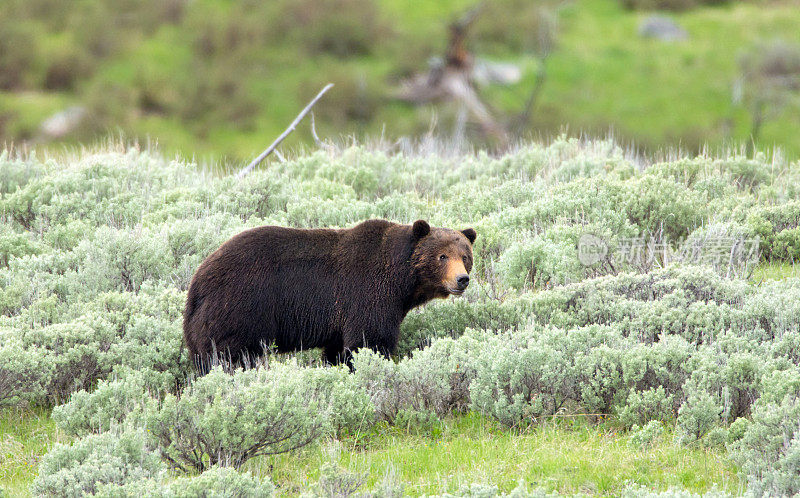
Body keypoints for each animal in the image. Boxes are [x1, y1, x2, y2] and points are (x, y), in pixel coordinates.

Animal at [183, 218, 476, 370]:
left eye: (465, 256)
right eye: (442, 256)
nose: (461, 279)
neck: (400, 280)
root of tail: (198, 280)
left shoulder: (339, 318)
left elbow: (337, 349)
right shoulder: (367, 292)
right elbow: (370, 340)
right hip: (241, 307)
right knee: (231, 355)